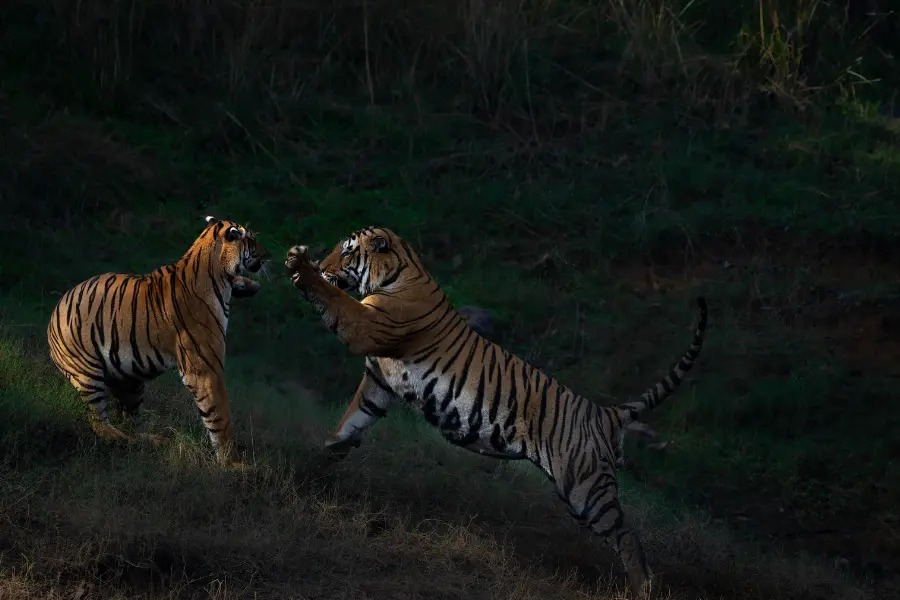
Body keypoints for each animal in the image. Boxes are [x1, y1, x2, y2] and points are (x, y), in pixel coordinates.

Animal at [47, 215, 270, 466]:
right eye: (252, 240)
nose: (268, 255)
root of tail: (56, 309)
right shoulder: (205, 367)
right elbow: (220, 414)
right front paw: (233, 463)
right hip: (87, 374)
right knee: (100, 425)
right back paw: (131, 443)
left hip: (129, 381)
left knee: (130, 421)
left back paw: (155, 441)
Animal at [283, 227, 707, 598]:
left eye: (347, 252)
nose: (324, 263)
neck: (398, 271)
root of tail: (604, 412)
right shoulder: (380, 379)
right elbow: (354, 417)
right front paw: (328, 454)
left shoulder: (366, 326)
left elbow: (334, 301)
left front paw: (301, 265)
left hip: (585, 488)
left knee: (627, 535)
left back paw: (642, 589)